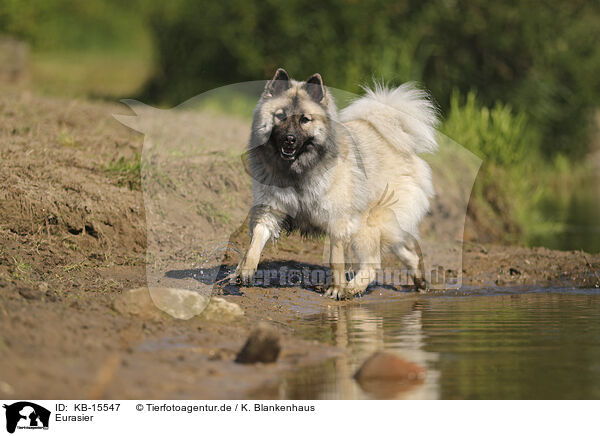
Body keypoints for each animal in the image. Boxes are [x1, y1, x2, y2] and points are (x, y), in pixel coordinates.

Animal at [229, 69, 436, 300]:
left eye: (305, 120)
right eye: (280, 116)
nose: (290, 139)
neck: (297, 170)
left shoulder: (337, 222)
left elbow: (336, 259)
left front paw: (337, 289)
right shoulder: (270, 211)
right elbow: (255, 242)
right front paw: (245, 270)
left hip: (367, 226)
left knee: (373, 264)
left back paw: (352, 288)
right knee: (408, 253)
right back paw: (420, 282)